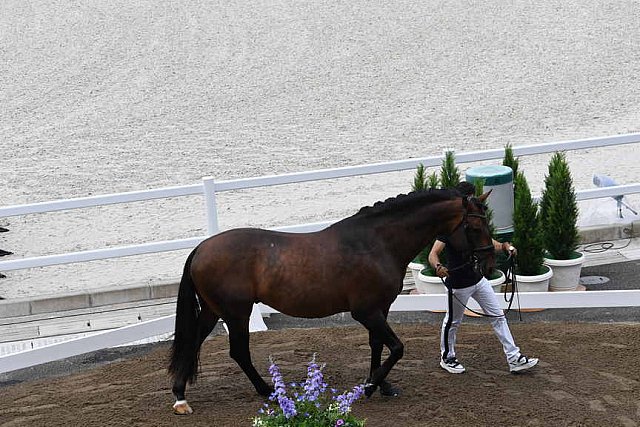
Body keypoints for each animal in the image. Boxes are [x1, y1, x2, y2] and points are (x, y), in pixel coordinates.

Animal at [168, 190, 492, 414]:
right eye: (475, 228)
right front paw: (370, 387)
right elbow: (397, 347)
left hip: (213, 311)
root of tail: (201, 248)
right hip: (236, 313)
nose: (489, 263)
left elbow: (378, 346)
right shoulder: (366, 312)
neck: (377, 243)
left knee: (193, 343)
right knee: (238, 352)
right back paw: (267, 390)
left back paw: (181, 395)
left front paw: (382, 385)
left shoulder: (381, 309)